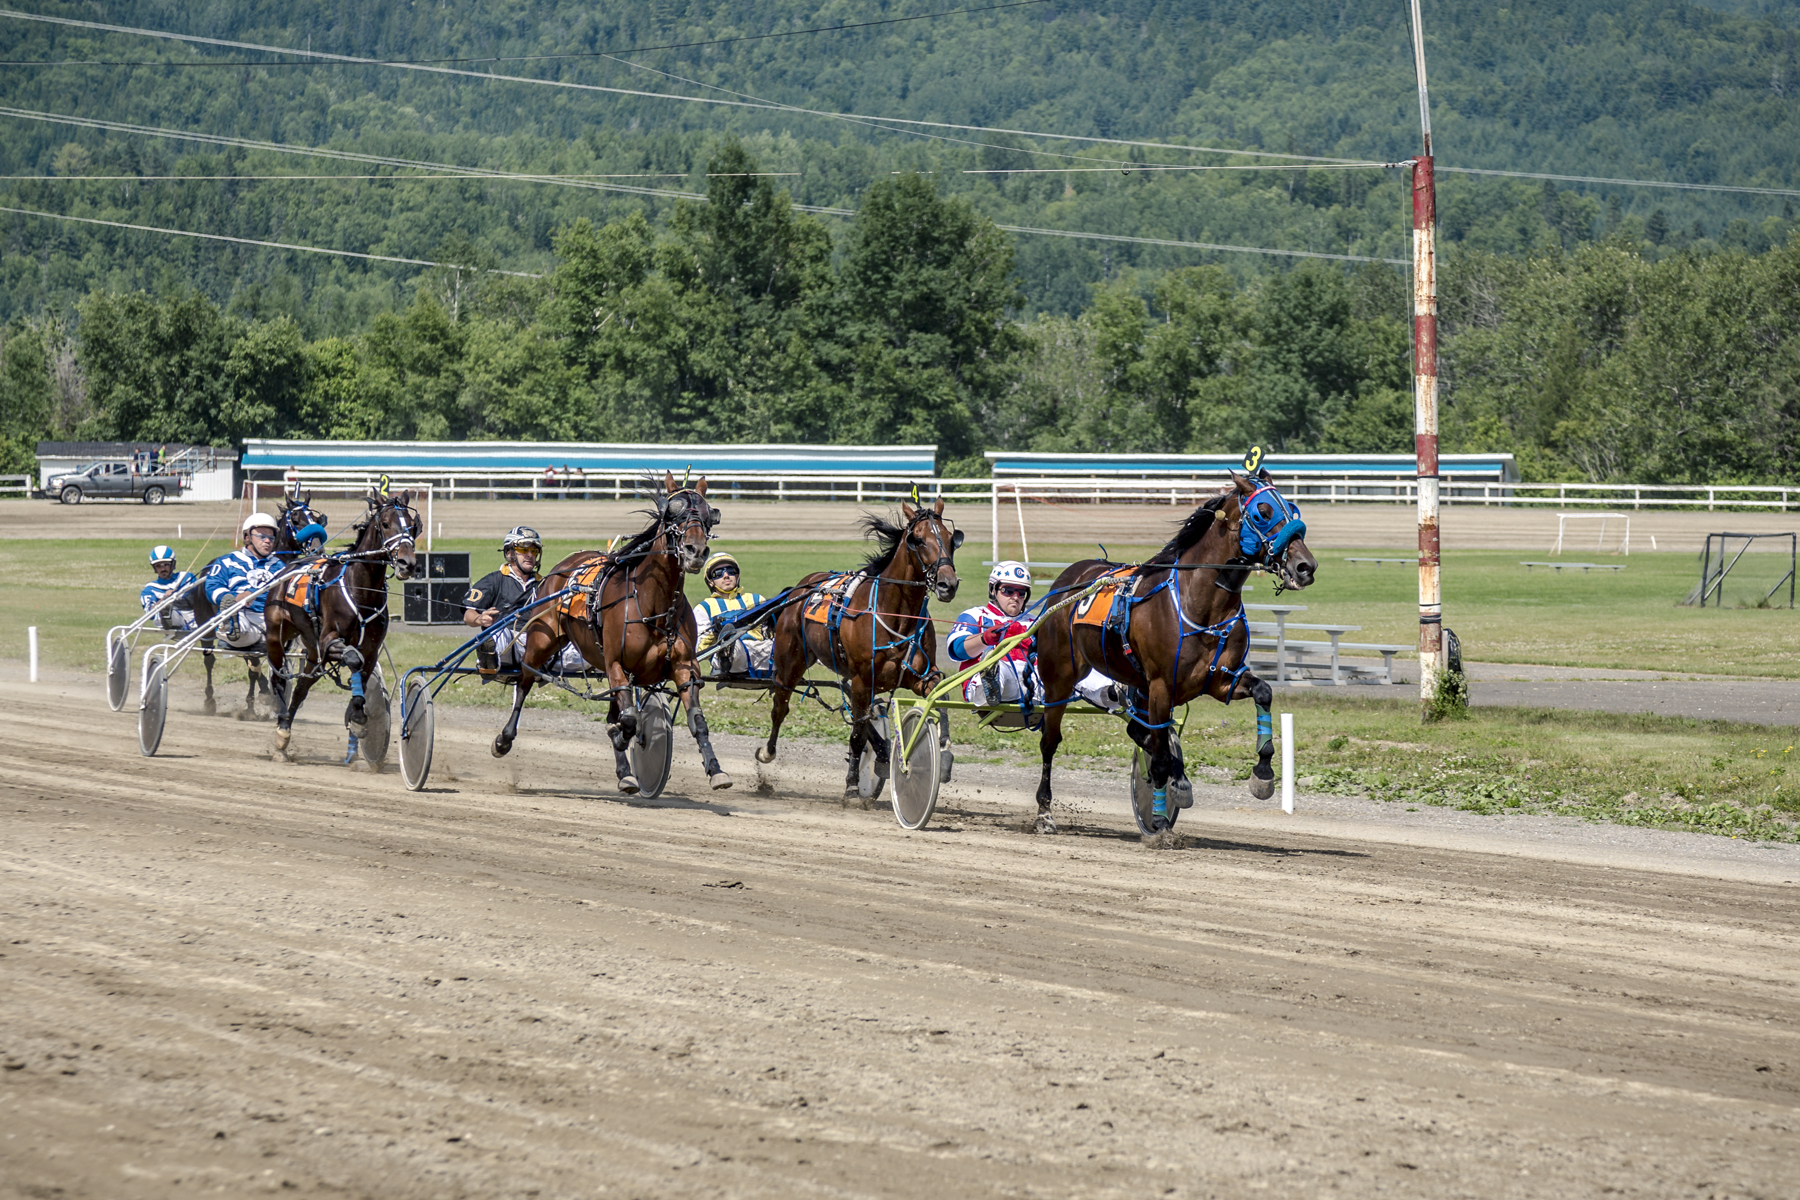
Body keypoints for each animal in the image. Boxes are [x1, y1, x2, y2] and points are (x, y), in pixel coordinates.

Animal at [186, 489, 334, 719]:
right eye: (295, 519)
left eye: (317, 520)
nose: (318, 549)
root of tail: (209, 568)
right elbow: (254, 665)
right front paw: (259, 699)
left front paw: (269, 699)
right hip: (207, 626)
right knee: (211, 659)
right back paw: (210, 700)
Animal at [262, 489, 419, 759]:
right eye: (385, 523)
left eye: (411, 524)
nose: (406, 563)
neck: (362, 590)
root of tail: (285, 572)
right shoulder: (329, 640)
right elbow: (354, 659)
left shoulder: (370, 648)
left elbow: (363, 673)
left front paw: (357, 715)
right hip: (277, 635)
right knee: (278, 677)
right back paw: (281, 722)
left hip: (313, 651)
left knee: (302, 686)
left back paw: (286, 728)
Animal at [493, 471, 730, 798]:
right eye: (674, 511)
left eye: (708, 515)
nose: (696, 551)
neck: (654, 605)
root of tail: (564, 566)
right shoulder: (617, 664)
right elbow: (628, 719)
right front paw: (622, 736)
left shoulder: (684, 666)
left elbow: (696, 720)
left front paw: (716, 769)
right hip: (543, 642)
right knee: (525, 682)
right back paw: (504, 739)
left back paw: (626, 774)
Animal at [752, 496, 964, 798]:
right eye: (919, 540)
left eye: (950, 539)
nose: (948, 584)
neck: (895, 615)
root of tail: (801, 588)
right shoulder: (864, 680)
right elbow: (857, 735)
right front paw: (853, 783)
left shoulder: (919, 676)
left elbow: (940, 694)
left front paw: (943, 751)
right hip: (790, 662)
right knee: (780, 706)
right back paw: (767, 753)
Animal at [1036, 467, 1317, 834]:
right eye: (1263, 513)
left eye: (1293, 509)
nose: (1305, 567)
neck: (1201, 603)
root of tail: (1067, 580)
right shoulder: (1161, 685)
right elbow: (1158, 757)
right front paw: (1157, 820)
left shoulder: (1220, 680)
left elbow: (1263, 692)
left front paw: (1263, 774)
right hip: (1060, 679)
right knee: (1050, 741)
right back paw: (1044, 812)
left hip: (1137, 687)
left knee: (1139, 731)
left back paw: (1179, 778)